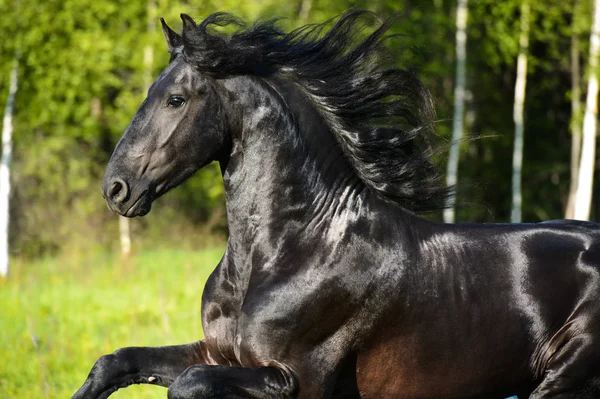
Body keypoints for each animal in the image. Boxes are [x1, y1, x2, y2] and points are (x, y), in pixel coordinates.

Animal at [74, 10, 600, 399]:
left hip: (562, 379)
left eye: (176, 99)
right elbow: (115, 362)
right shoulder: (216, 352)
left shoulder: (296, 379)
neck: (297, 249)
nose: (115, 188)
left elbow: (188, 385)